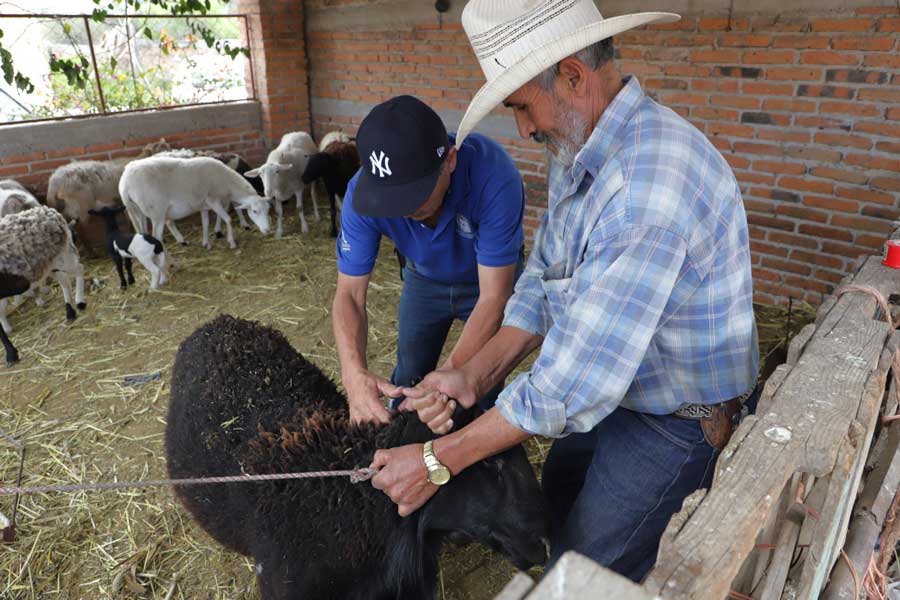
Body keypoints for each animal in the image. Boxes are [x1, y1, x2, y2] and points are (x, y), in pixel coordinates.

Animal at [0, 206, 87, 366]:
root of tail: (51, 212)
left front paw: (11, 355)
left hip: (63, 257)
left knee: (79, 268)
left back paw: (80, 301)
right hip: (50, 264)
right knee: (64, 280)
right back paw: (69, 312)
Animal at [121, 156, 272, 250]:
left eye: (268, 210)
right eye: (255, 211)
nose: (267, 230)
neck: (227, 183)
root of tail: (125, 182)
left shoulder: (204, 205)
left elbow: (205, 223)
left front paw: (206, 243)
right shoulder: (213, 200)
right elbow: (228, 219)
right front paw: (232, 242)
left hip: (136, 211)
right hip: (156, 212)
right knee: (157, 237)